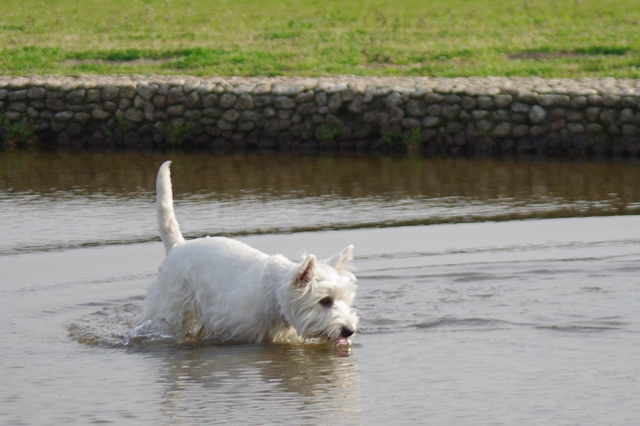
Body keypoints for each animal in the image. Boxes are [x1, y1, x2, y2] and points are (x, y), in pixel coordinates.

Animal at [138, 161, 358, 344]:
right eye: (325, 301)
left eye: (346, 300)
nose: (349, 331)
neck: (274, 296)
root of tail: (177, 246)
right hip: (171, 309)